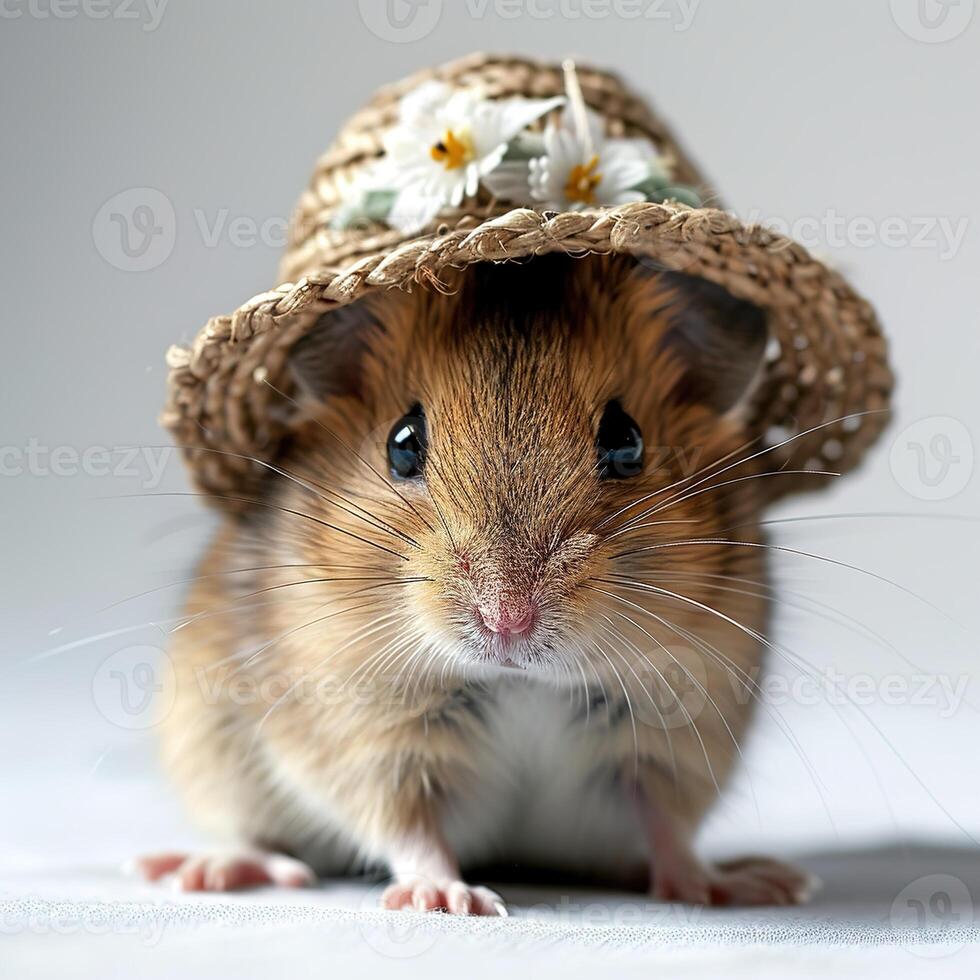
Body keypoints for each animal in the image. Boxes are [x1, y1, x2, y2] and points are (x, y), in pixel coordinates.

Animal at [134, 253, 816, 912]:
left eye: (628, 442)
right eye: (402, 444)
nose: (507, 621)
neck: (522, 683)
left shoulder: (670, 733)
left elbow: (667, 827)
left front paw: (732, 887)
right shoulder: (365, 734)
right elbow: (409, 829)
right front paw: (452, 900)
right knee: (247, 834)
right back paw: (200, 870)